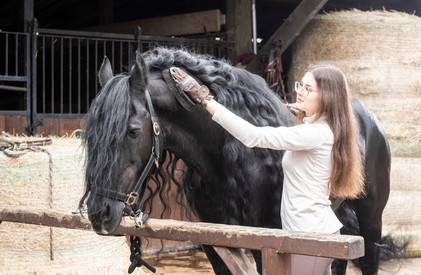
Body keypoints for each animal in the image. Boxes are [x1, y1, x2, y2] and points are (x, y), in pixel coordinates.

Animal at [81, 48, 390, 274]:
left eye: (132, 130)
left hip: (371, 220)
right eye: (90, 133)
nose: (99, 213)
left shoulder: (269, 244)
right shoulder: (217, 242)